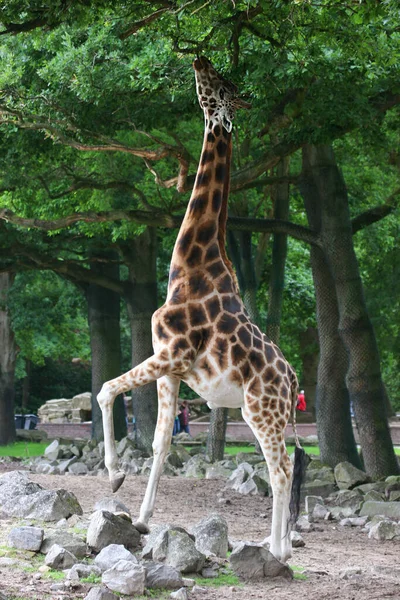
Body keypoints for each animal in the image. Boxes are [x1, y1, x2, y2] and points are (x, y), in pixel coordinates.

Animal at [98, 55, 304, 564]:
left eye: (221, 86)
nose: (200, 58)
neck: (187, 270)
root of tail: (294, 383)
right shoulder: (172, 368)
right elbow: (159, 442)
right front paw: (142, 519)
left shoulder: (170, 353)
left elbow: (107, 389)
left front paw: (113, 474)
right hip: (265, 413)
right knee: (284, 468)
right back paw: (278, 546)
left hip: (261, 411)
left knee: (281, 470)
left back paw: (277, 551)